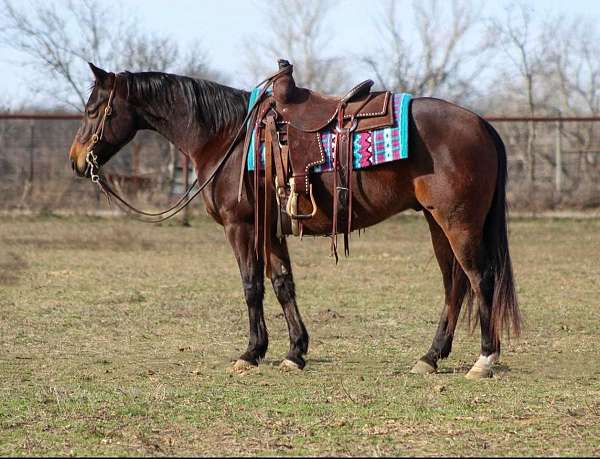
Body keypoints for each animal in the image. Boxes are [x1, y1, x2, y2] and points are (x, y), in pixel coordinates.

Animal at [69, 64, 520, 380]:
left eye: (93, 110)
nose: (76, 161)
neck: (227, 137)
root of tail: (480, 123)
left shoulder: (242, 227)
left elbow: (251, 286)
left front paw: (251, 354)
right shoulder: (270, 230)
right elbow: (282, 283)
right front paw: (294, 352)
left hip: (457, 222)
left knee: (480, 278)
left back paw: (484, 359)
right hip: (436, 222)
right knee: (455, 284)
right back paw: (430, 357)